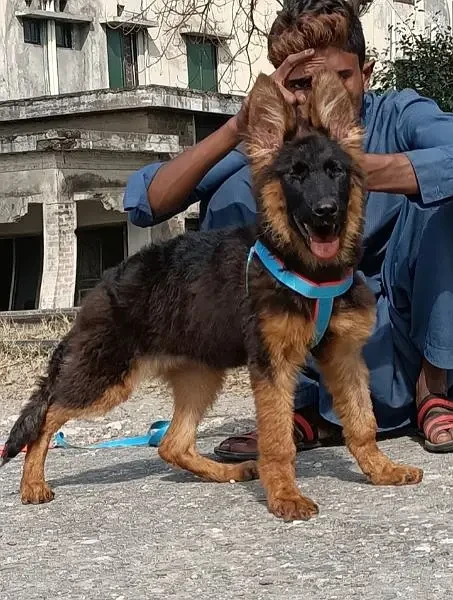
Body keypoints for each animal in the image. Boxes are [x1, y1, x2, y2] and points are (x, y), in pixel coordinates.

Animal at [1, 71, 422, 520]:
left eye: (335, 171)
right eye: (295, 175)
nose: (326, 211)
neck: (305, 267)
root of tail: (104, 283)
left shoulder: (343, 356)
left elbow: (362, 422)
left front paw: (381, 469)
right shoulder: (273, 366)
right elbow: (277, 439)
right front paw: (285, 495)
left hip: (199, 375)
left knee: (172, 444)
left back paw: (227, 473)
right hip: (107, 378)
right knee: (46, 416)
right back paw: (32, 483)